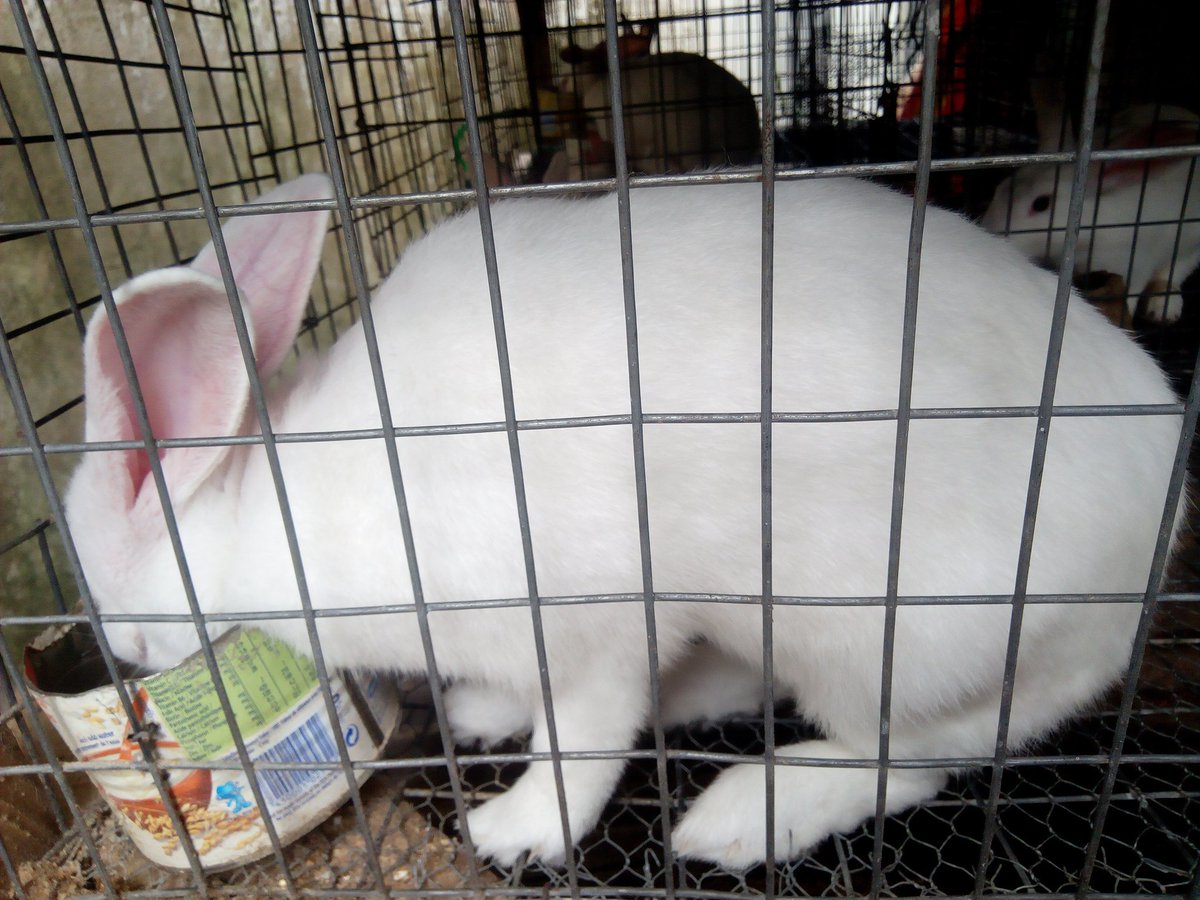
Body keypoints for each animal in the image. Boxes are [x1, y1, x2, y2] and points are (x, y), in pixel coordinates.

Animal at [65, 173, 1184, 870]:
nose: (118, 652)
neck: (282, 504)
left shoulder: (588, 625)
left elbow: (584, 742)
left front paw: (514, 829)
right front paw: (477, 710)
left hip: (895, 642)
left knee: (908, 759)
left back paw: (745, 816)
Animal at [982, 97, 1200, 324]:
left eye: (1041, 204)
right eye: (1003, 186)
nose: (991, 230)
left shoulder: (1133, 265)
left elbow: (1129, 295)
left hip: (1190, 244)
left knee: (1173, 273)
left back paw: (1163, 308)